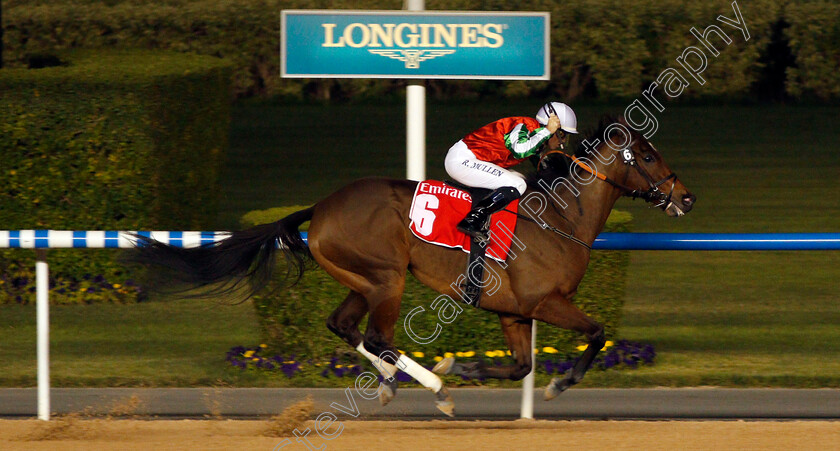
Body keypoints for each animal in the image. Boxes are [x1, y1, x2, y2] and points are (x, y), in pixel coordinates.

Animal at [130, 115, 696, 416]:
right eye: (647, 155)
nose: (685, 198)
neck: (559, 217)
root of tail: (323, 206)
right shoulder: (545, 302)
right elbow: (596, 333)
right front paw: (555, 385)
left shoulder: (514, 312)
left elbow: (521, 364)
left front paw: (467, 366)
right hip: (387, 277)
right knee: (376, 335)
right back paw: (434, 388)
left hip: (360, 278)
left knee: (343, 325)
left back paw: (390, 382)